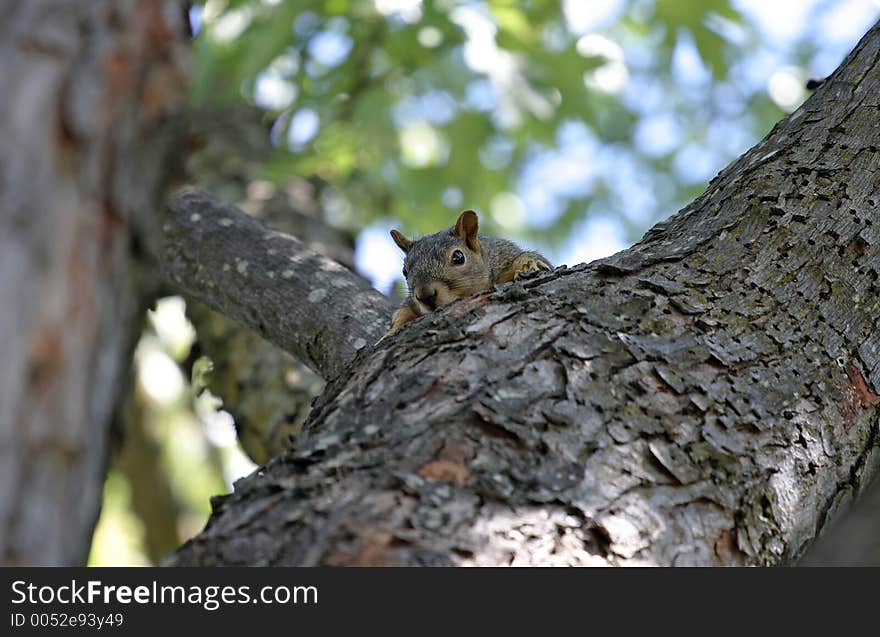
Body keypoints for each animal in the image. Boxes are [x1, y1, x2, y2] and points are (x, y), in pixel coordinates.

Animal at [380, 209, 552, 338]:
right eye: (404, 271)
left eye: (458, 257)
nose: (425, 295)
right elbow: (402, 312)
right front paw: (391, 331)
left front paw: (529, 264)